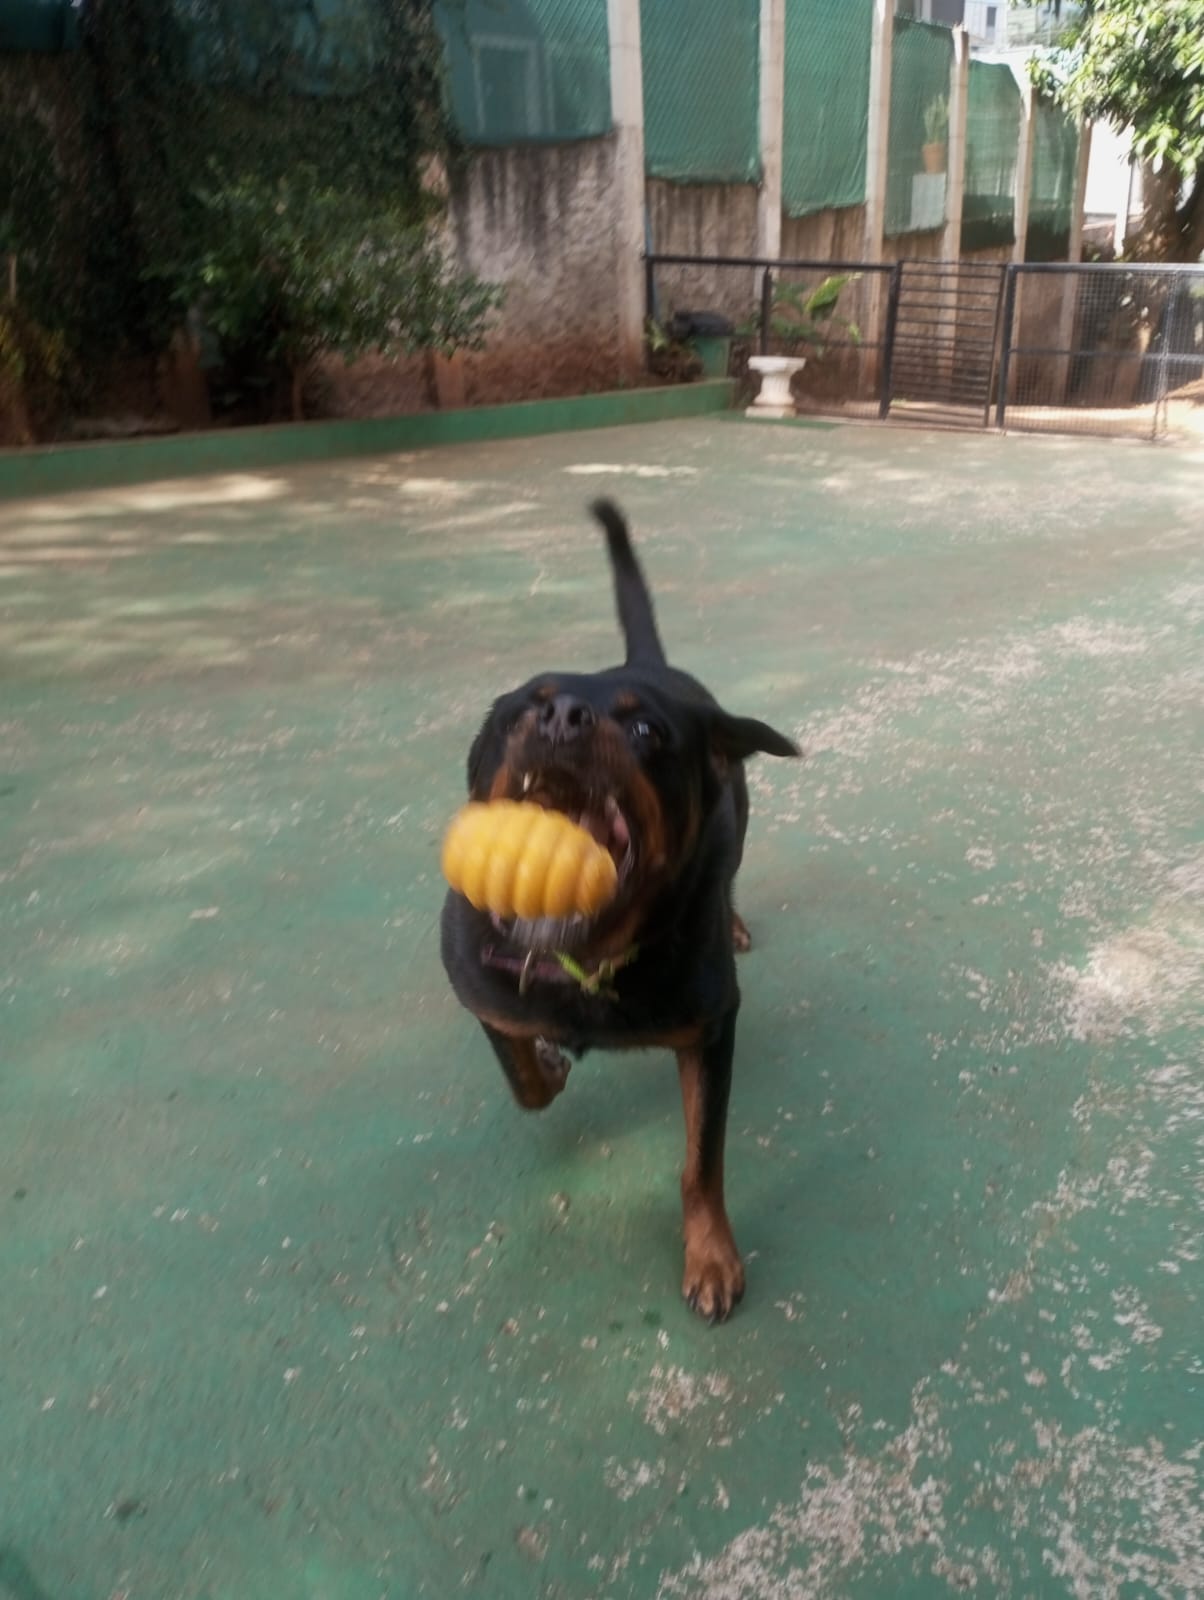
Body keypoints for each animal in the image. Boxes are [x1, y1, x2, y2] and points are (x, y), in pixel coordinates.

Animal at [440, 500, 799, 1321]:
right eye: (523, 711)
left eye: (645, 731)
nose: (564, 715)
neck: (585, 957)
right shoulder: (479, 982)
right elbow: (524, 1076)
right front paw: (546, 1059)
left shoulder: (711, 1029)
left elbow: (701, 1163)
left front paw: (711, 1254)